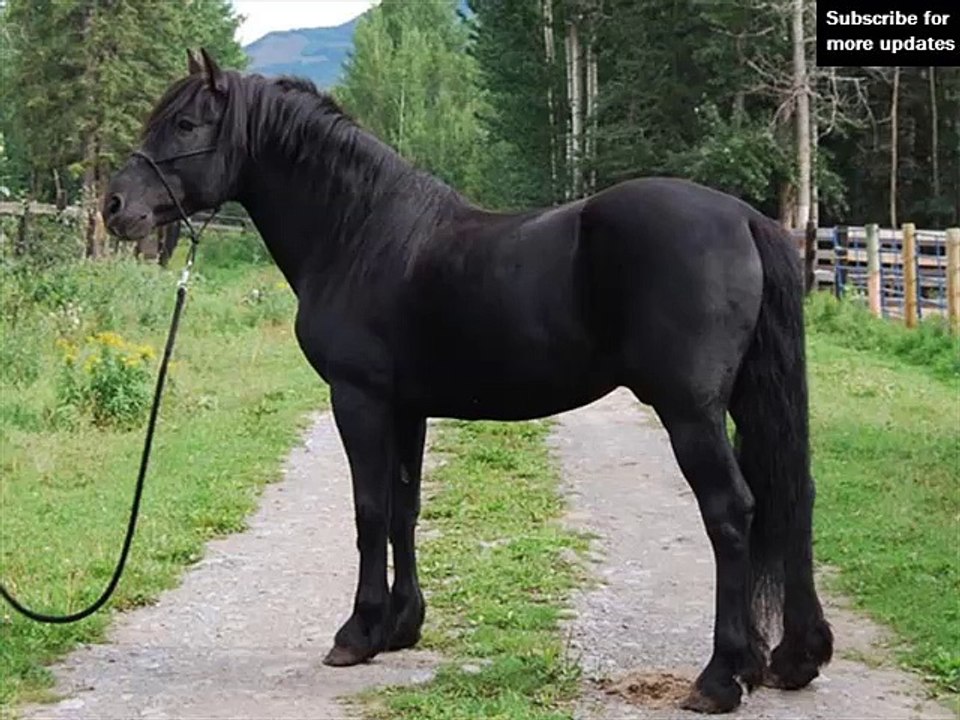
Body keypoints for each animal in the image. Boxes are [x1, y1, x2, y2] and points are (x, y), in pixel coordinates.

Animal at [102, 49, 833, 714]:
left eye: (187, 124)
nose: (115, 206)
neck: (359, 232)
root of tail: (744, 218)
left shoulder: (358, 400)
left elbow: (369, 511)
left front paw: (357, 633)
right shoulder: (407, 409)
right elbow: (404, 509)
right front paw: (401, 626)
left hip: (689, 411)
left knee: (732, 513)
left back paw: (721, 677)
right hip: (743, 401)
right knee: (792, 497)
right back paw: (793, 660)